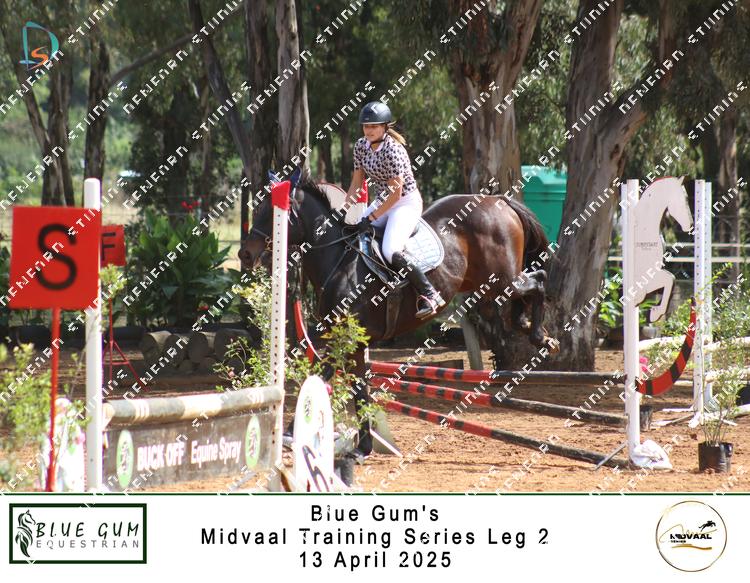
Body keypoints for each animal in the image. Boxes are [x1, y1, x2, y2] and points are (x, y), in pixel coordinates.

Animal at [239, 174, 555, 454]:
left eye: (271, 212)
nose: (245, 254)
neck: (337, 261)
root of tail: (498, 200)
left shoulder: (348, 339)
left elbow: (322, 374)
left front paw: (290, 433)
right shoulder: (355, 341)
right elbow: (358, 387)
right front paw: (364, 445)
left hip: (502, 280)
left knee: (538, 280)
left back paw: (541, 336)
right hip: (488, 284)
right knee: (522, 295)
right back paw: (526, 324)